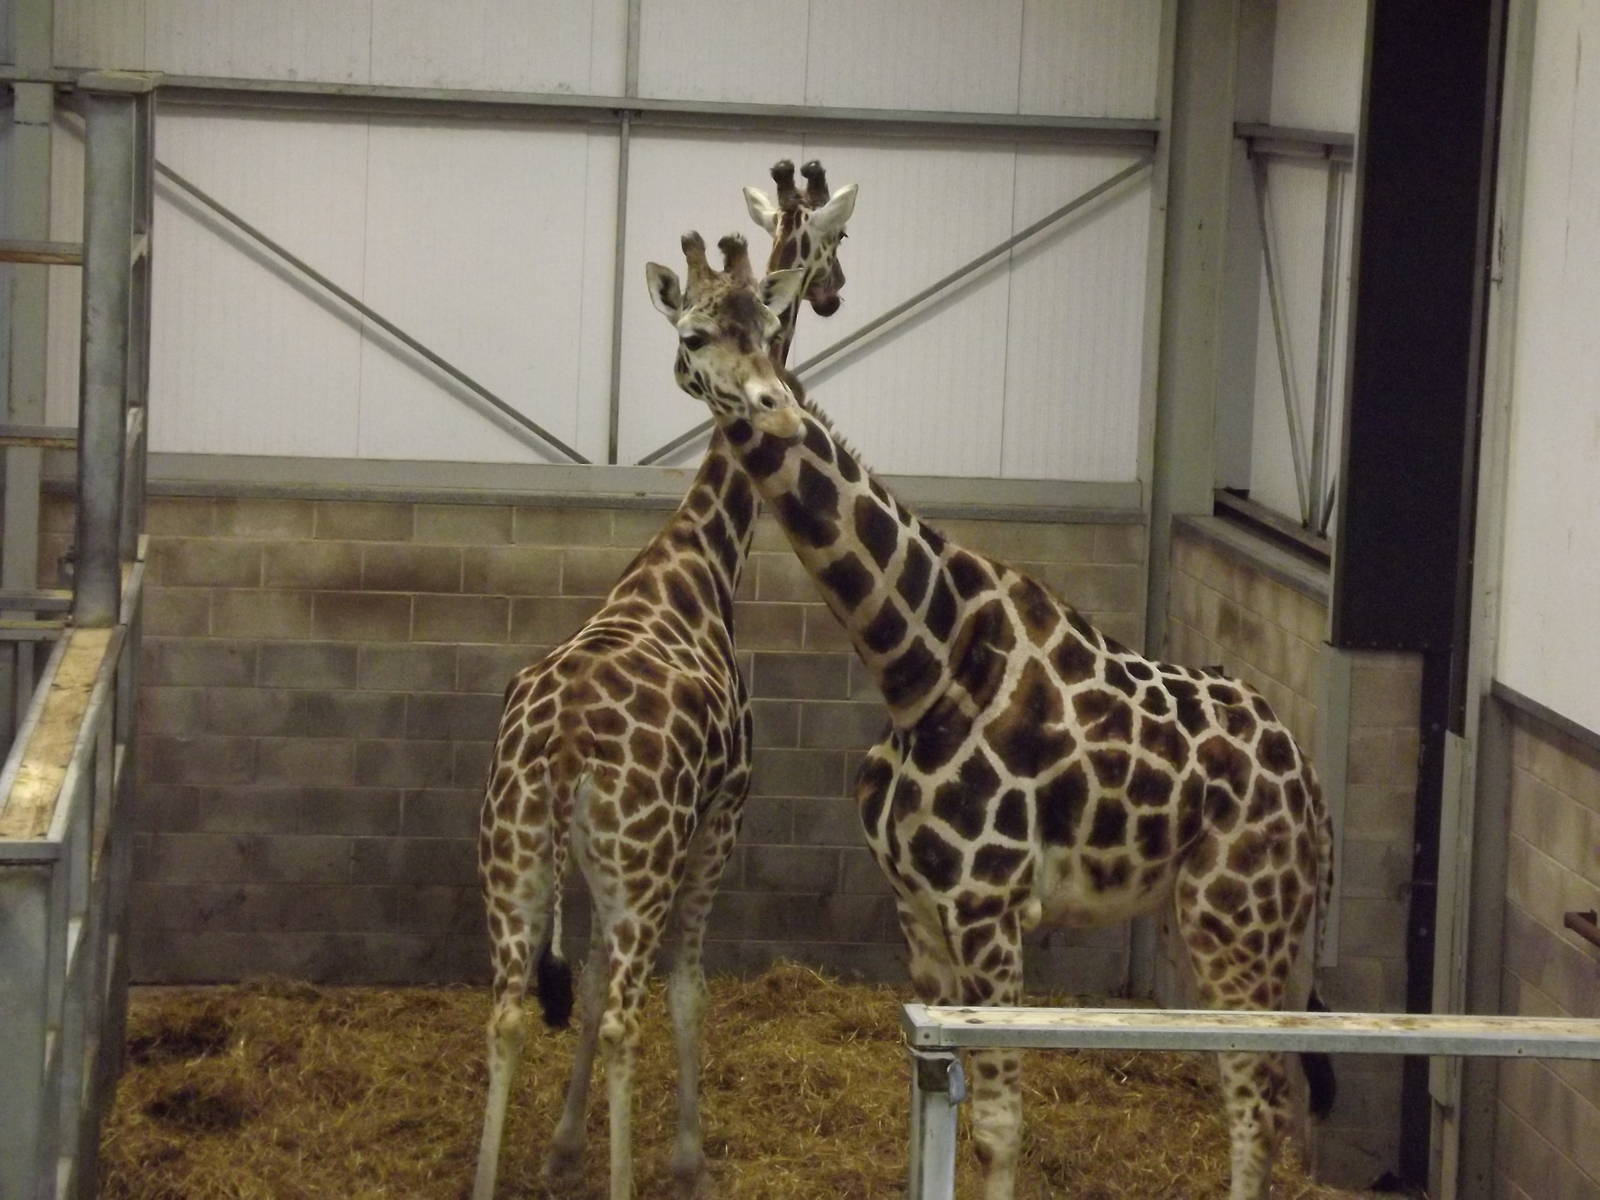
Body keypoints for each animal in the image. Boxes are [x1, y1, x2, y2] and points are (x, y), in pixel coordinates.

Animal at [471, 162, 855, 1200]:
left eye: (761, 323)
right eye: (693, 333)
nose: (769, 401)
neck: (696, 565)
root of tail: (562, 751)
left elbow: (592, 968)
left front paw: (559, 1148)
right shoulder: (724, 811)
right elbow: (685, 986)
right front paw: (688, 1154)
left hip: (515, 860)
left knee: (512, 1010)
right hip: (636, 858)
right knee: (620, 1017)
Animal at [648, 285, 1337, 1200]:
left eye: (770, 328)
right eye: (694, 335)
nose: (774, 406)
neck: (921, 666)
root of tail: (1313, 788)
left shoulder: (990, 908)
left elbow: (1000, 1129)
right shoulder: (921, 912)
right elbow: (942, 1104)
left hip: (1240, 920)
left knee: (1255, 1100)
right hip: (1225, 921)